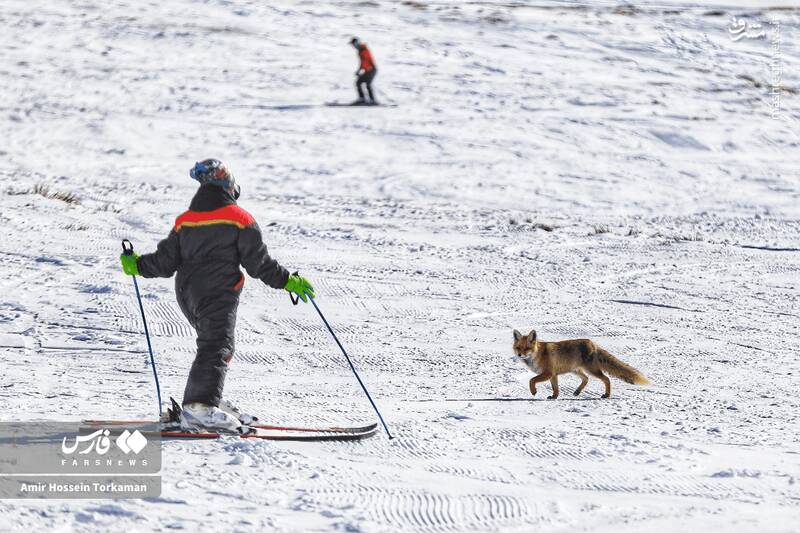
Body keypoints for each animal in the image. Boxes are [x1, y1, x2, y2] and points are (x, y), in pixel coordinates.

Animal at [512, 329, 649, 399]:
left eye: (527, 348)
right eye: (518, 348)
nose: (519, 355)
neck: (537, 354)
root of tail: (592, 343)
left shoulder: (548, 373)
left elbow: (531, 380)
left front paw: (533, 392)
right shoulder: (554, 375)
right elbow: (555, 388)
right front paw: (554, 396)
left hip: (592, 370)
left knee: (607, 379)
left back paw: (607, 395)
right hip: (576, 370)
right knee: (586, 379)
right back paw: (577, 392)